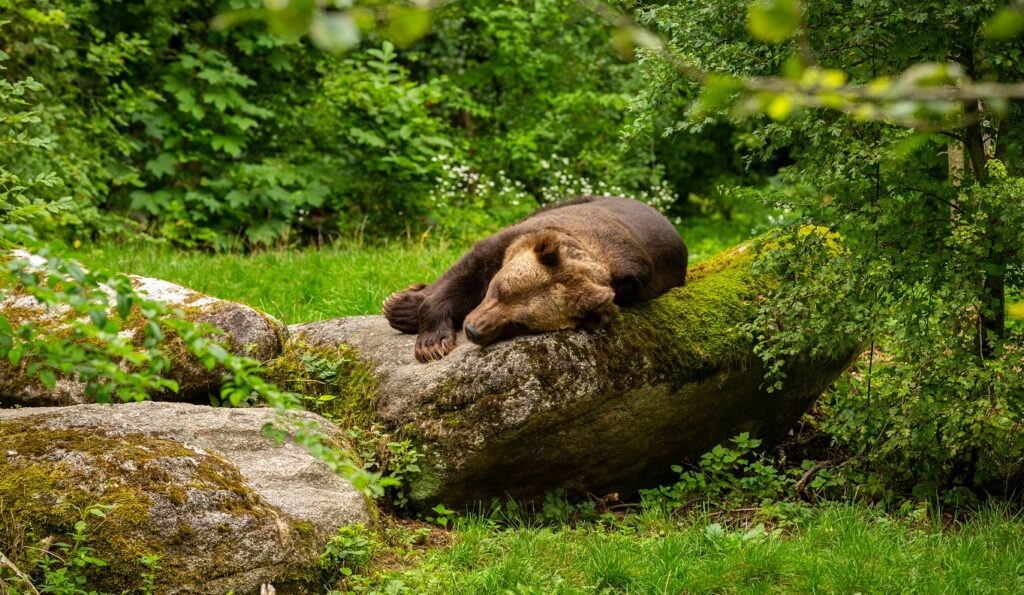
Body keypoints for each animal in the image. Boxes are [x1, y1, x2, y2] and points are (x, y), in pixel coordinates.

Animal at [382, 196, 688, 362]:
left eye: (520, 323)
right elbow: (464, 275)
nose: (473, 330)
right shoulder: (515, 239)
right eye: (498, 289)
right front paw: (430, 341)